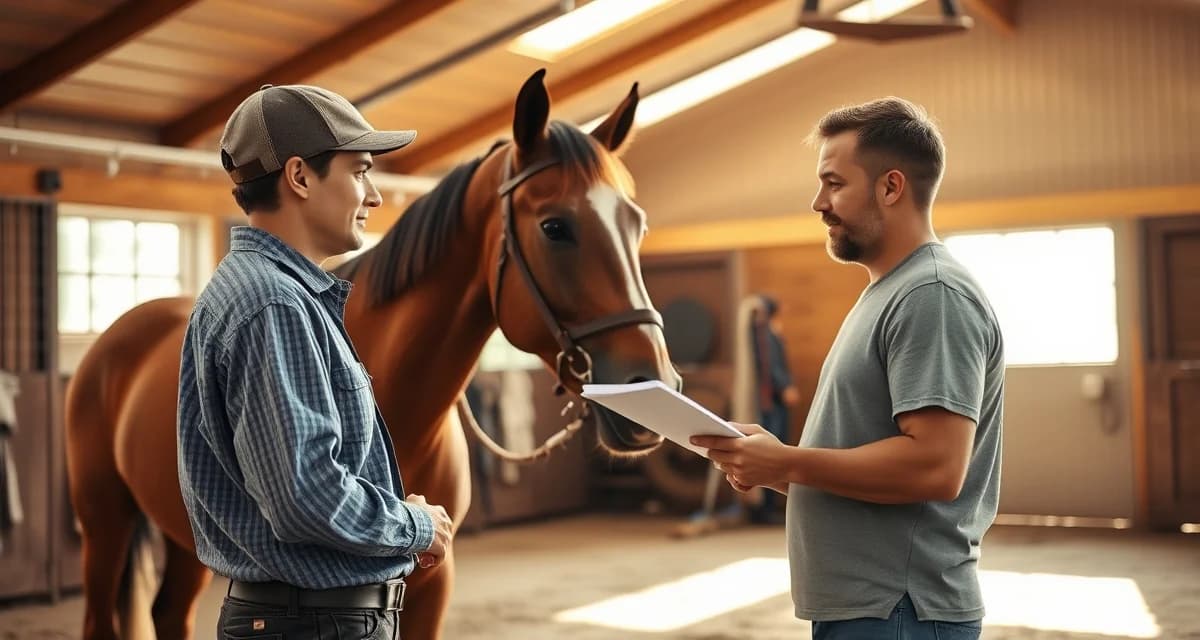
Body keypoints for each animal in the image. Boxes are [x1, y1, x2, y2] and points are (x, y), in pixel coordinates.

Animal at [64, 68, 680, 640]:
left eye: (638, 223)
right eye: (555, 226)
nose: (652, 385)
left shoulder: (435, 582)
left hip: (184, 534)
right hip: (104, 523)